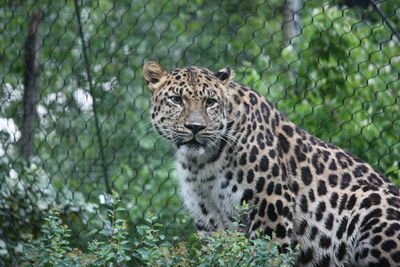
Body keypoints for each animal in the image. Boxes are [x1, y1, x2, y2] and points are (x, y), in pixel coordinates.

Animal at [143, 61, 400, 266]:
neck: (202, 163)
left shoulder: (271, 206)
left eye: (210, 102)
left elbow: (266, 254)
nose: (195, 127)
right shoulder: (209, 219)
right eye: (177, 100)